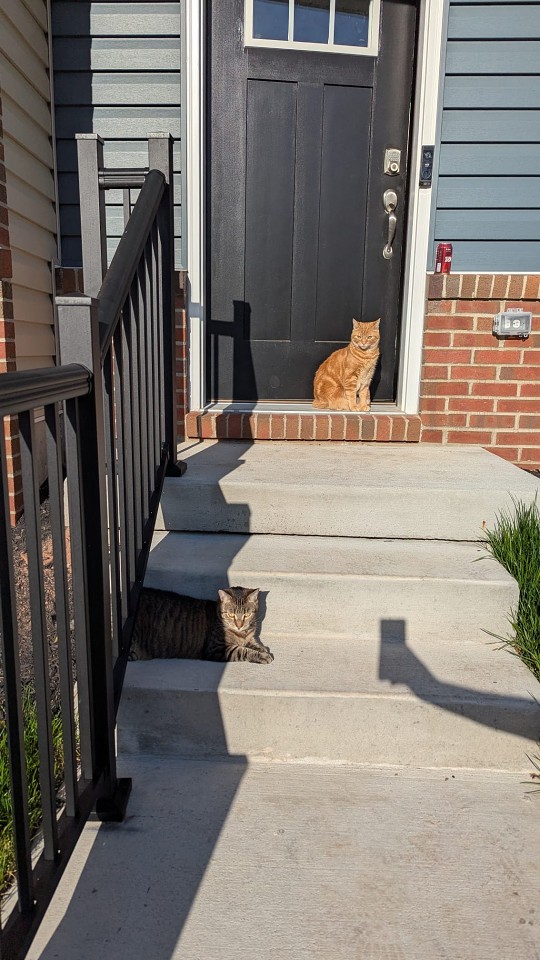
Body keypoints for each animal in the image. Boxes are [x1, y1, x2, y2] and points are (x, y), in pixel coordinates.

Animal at [129, 585, 273, 663]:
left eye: (247, 615)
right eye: (231, 615)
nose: (239, 625)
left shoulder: (249, 638)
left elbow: (254, 644)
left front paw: (262, 649)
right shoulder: (216, 649)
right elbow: (242, 650)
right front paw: (263, 656)